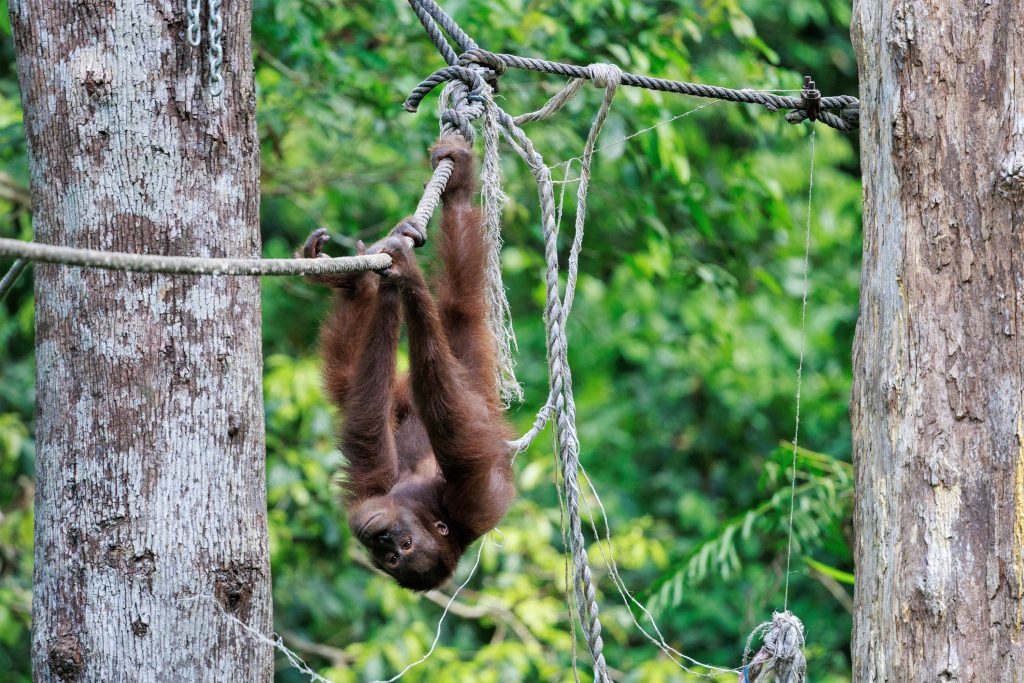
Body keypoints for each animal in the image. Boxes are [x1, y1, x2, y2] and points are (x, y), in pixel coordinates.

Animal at [299, 136, 514, 591]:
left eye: (402, 552)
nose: (382, 541)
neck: (433, 505)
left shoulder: (454, 497)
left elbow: (369, 433)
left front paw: (402, 282)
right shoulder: (459, 498)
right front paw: (397, 277)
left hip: (461, 380)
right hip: (466, 367)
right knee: (459, 305)